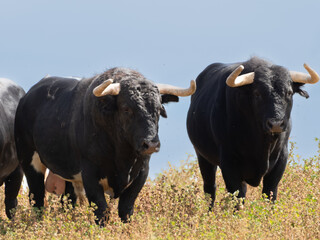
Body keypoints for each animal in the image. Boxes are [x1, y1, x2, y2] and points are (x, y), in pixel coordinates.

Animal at [186, 57, 318, 207]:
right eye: (257, 93)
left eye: (289, 93)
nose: (276, 124)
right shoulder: (229, 162)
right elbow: (237, 196)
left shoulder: (281, 159)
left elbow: (270, 193)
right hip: (202, 156)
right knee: (210, 189)